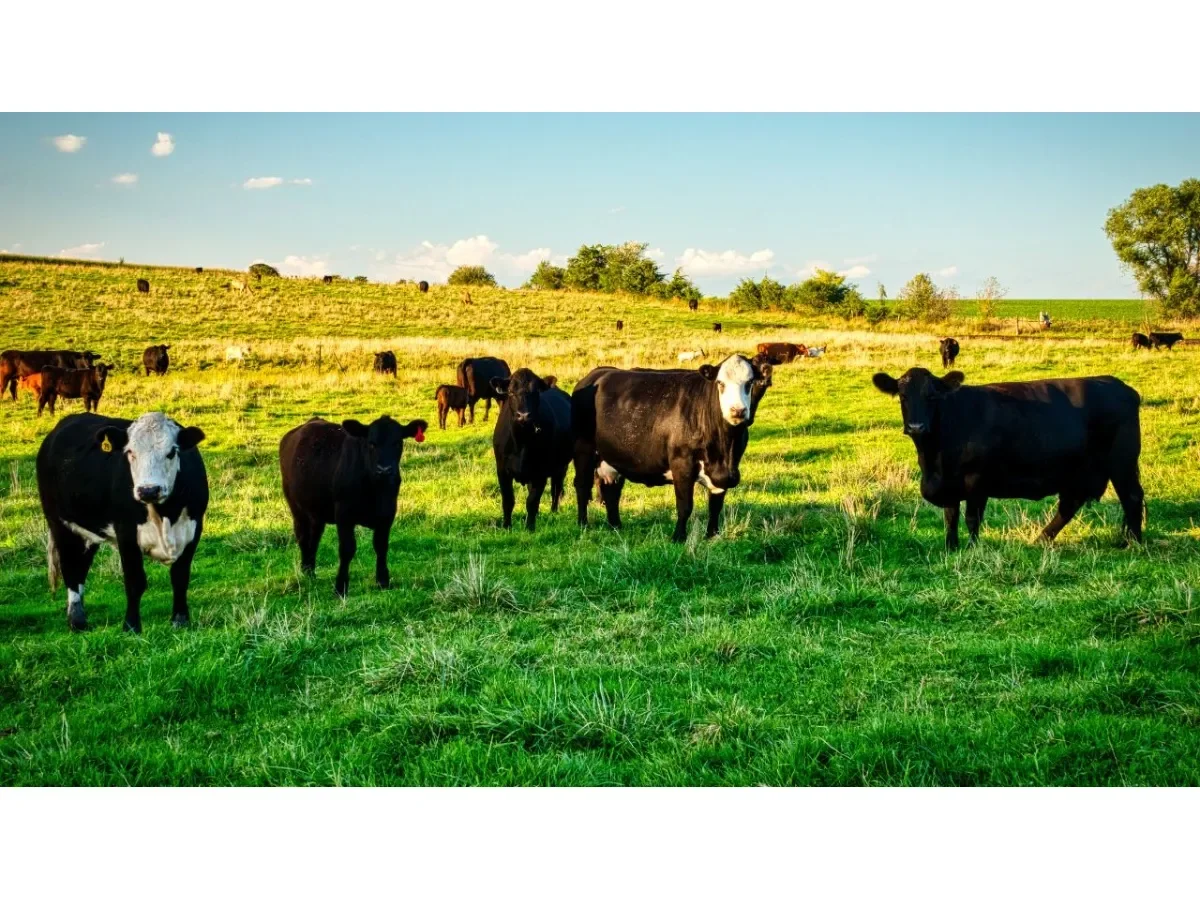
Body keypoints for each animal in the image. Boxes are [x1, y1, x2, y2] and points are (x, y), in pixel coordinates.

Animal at [36, 411, 208, 632]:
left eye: (171, 452)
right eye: (130, 453)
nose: (148, 490)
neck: (166, 515)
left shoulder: (193, 530)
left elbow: (180, 577)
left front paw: (180, 621)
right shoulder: (126, 532)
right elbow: (135, 582)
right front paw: (131, 626)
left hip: (89, 531)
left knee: (82, 565)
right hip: (59, 523)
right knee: (71, 568)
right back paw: (77, 620)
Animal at [279, 415, 427, 597]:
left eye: (398, 443)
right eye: (371, 443)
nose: (384, 469)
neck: (374, 489)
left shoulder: (387, 513)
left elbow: (381, 546)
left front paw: (383, 581)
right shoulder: (344, 515)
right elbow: (347, 549)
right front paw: (340, 587)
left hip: (317, 512)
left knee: (314, 537)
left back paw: (310, 571)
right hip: (297, 507)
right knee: (302, 536)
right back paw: (306, 571)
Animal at [491, 368, 572, 531]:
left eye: (535, 393)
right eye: (510, 392)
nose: (523, 415)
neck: (521, 442)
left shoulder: (540, 472)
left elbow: (532, 501)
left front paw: (529, 528)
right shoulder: (502, 470)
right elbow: (508, 500)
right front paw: (506, 526)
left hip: (561, 467)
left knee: (556, 489)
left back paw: (553, 512)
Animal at [572, 354, 773, 542]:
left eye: (749, 382)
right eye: (720, 383)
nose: (737, 411)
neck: (724, 450)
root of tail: (596, 374)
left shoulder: (725, 472)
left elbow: (715, 506)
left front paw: (712, 535)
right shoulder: (681, 464)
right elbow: (685, 506)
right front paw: (678, 537)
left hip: (613, 457)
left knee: (611, 490)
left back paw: (615, 526)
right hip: (583, 450)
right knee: (582, 485)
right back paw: (583, 524)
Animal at [871, 367, 1144, 549]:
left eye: (932, 396)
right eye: (903, 396)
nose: (916, 427)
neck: (934, 458)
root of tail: (1118, 386)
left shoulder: (976, 479)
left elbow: (972, 518)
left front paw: (972, 548)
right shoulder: (949, 482)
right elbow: (951, 516)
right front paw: (951, 547)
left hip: (1122, 463)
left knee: (1131, 497)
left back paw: (1135, 543)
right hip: (1079, 472)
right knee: (1070, 505)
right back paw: (1041, 540)